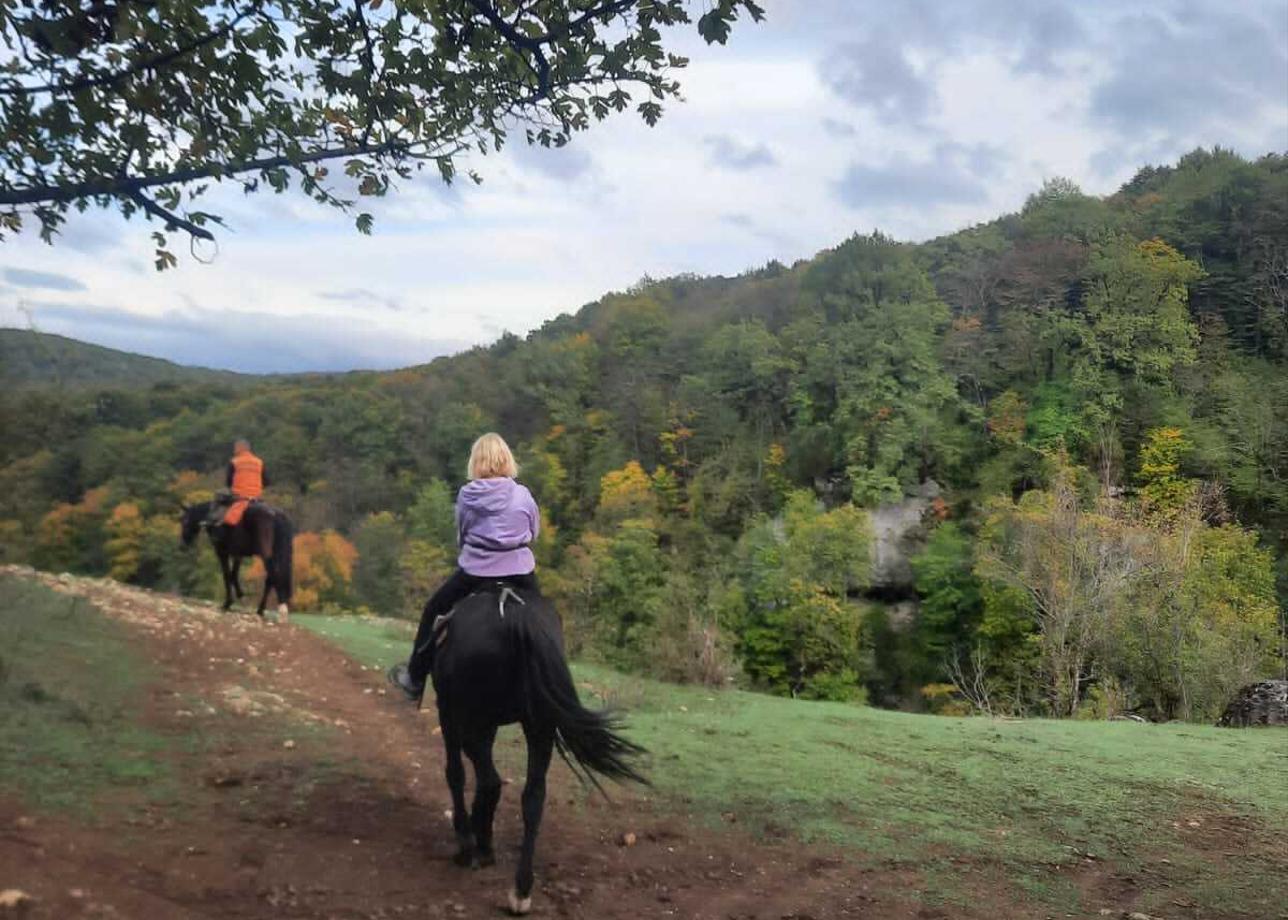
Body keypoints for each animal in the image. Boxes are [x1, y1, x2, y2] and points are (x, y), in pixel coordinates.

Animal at [435, 579, 644, 912]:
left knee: (490, 780)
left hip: (472, 717)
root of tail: (517, 616)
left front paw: (468, 839)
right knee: (532, 797)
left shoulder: (449, 711)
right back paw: (519, 888)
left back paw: (475, 847)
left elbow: (456, 773)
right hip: (539, 725)